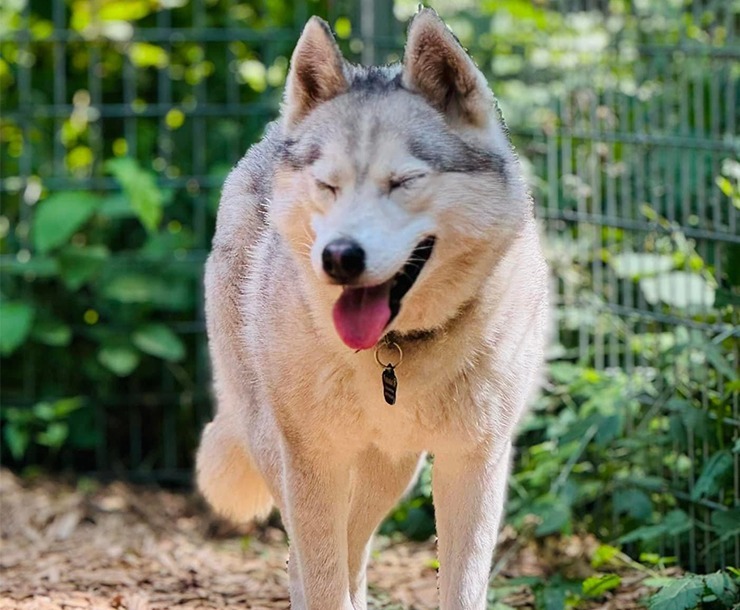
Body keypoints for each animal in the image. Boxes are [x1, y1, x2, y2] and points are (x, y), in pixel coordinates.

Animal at [197, 9, 548, 608]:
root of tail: (271, 137)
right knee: (309, 559)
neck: (394, 351)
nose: (339, 257)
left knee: (355, 548)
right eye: (327, 185)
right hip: (280, 448)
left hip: (392, 470)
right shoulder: (312, 459)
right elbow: (320, 576)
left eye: (403, 182)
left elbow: (461, 587)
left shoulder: (474, 463)